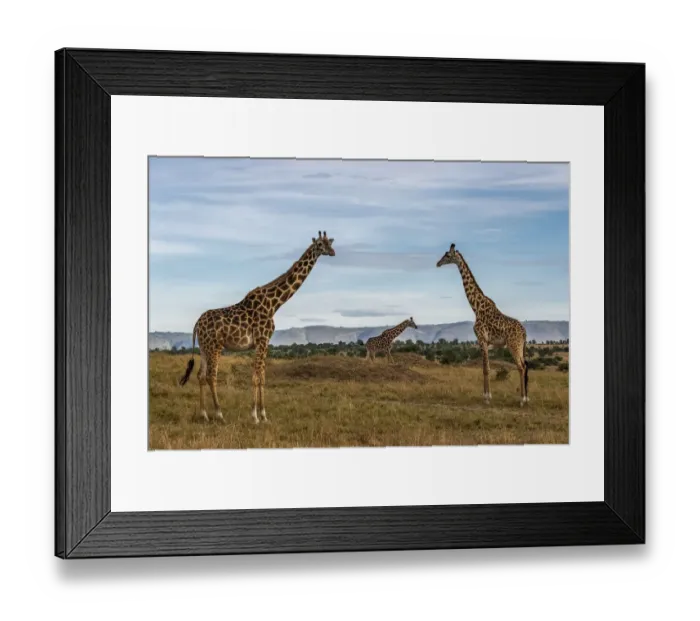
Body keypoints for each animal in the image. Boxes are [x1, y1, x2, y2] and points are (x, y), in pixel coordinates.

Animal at [179, 231, 335, 424]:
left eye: (330, 243)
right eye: (320, 244)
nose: (333, 252)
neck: (274, 304)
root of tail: (197, 324)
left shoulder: (264, 342)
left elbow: (262, 377)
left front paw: (263, 415)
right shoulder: (262, 340)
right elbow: (255, 377)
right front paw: (255, 416)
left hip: (203, 347)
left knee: (200, 375)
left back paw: (204, 414)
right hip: (215, 346)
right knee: (211, 376)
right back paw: (219, 414)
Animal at [437, 243, 530, 407]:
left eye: (447, 255)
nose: (438, 263)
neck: (476, 307)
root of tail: (524, 332)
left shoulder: (482, 339)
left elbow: (486, 368)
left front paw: (487, 398)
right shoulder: (487, 342)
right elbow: (486, 367)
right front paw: (486, 396)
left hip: (514, 345)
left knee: (521, 366)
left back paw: (522, 400)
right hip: (519, 346)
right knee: (524, 366)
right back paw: (524, 398)